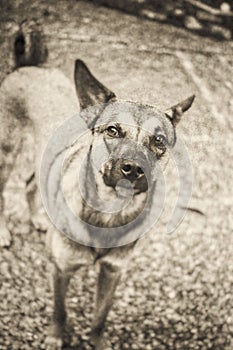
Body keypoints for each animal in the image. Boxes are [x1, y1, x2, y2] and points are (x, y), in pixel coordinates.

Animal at [0, 23, 195, 348]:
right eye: (113, 131)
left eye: (158, 141)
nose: (133, 169)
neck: (109, 212)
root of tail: (27, 65)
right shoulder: (61, 270)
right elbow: (60, 309)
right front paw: (55, 337)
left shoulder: (113, 272)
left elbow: (100, 316)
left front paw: (98, 340)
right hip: (6, 151)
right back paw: (4, 230)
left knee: (30, 184)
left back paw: (39, 218)